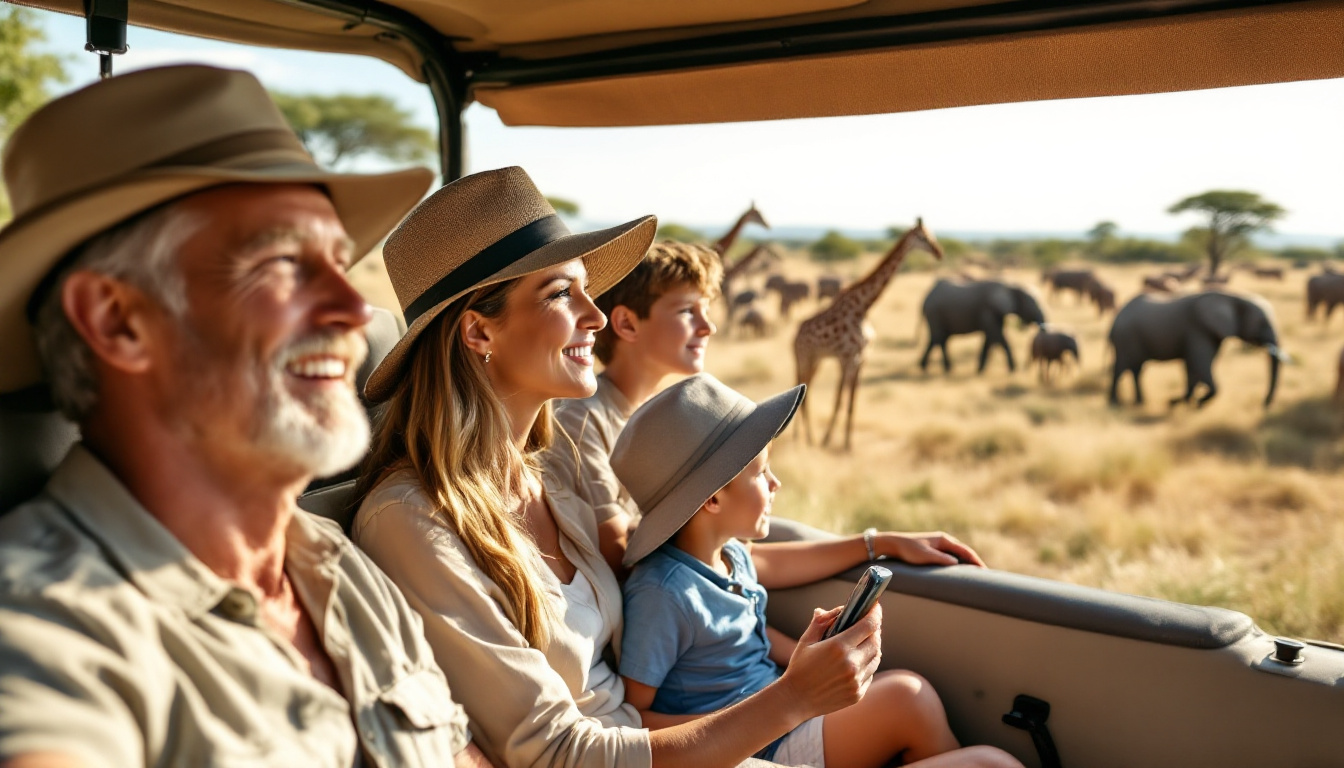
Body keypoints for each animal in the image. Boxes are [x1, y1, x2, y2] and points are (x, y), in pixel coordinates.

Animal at [784, 219, 946, 451]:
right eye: (923, 237)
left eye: (932, 235)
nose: (939, 252)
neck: (863, 309)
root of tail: (795, 337)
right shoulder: (846, 358)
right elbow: (839, 400)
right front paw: (827, 441)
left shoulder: (862, 359)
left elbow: (853, 403)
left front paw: (848, 444)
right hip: (805, 357)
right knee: (803, 392)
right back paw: (807, 438)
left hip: (817, 360)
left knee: (806, 392)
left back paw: (805, 438)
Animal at [1107, 290, 1284, 408]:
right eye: (1262, 323)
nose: (1264, 404)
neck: (1232, 297)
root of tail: (1116, 318)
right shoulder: (1198, 331)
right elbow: (1201, 365)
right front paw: (1195, 403)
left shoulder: (1210, 334)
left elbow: (1194, 368)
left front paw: (1182, 402)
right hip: (1125, 339)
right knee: (1121, 367)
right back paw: (1115, 403)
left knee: (1136, 369)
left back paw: (1140, 402)